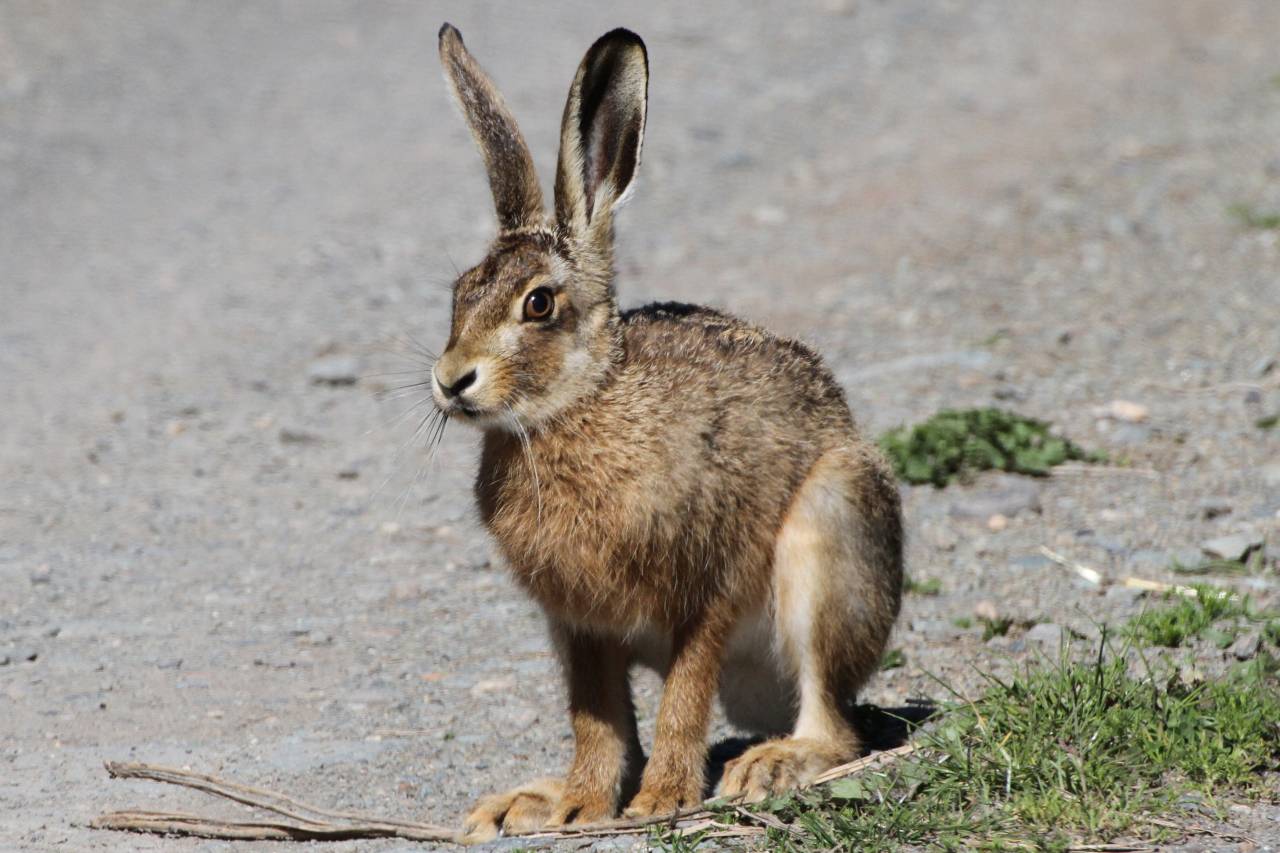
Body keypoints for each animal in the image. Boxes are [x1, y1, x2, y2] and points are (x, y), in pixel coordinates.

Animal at [430, 23, 903, 842]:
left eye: (538, 304)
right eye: (460, 294)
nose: (451, 379)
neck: (576, 405)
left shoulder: (709, 582)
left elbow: (684, 693)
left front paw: (661, 800)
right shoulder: (577, 624)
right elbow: (596, 720)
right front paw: (580, 804)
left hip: (836, 526)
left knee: (836, 723)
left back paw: (772, 764)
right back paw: (529, 799)